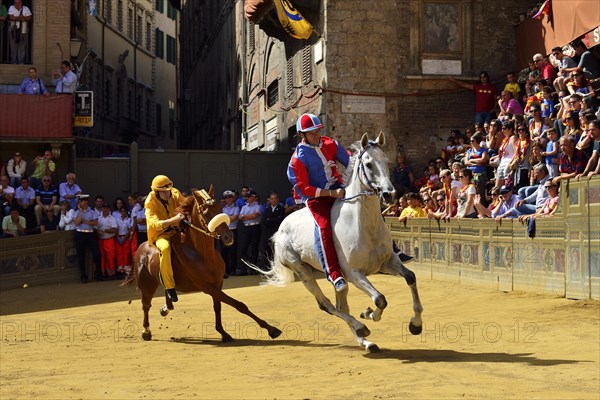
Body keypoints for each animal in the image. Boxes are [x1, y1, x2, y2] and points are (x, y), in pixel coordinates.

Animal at [123, 187, 282, 340]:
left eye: (220, 208)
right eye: (205, 213)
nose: (228, 236)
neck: (203, 255)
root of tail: (140, 248)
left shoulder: (218, 283)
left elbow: (217, 307)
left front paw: (223, 332)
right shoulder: (207, 286)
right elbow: (238, 304)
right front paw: (271, 329)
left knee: (167, 297)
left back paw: (165, 308)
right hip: (147, 285)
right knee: (146, 305)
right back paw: (146, 331)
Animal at [260, 131, 424, 350]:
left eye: (386, 161)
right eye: (369, 164)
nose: (389, 194)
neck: (363, 225)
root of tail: (279, 230)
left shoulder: (388, 263)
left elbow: (410, 278)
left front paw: (416, 324)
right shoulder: (354, 273)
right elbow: (380, 299)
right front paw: (369, 314)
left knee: (341, 303)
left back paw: (365, 340)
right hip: (303, 271)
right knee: (327, 304)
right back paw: (361, 328)